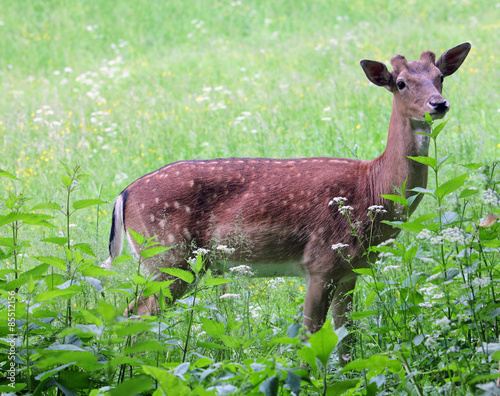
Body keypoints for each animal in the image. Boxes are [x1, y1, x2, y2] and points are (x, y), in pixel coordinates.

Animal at [103, 42, 470, 362]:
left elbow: (346, 339)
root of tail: (123, 194)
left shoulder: (351, 269)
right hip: (168, 255)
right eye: (401, 82)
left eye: (440, 76)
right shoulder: (321, 261)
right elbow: (310, 337)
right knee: (133, 316)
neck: (373, 188)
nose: (439, 104)